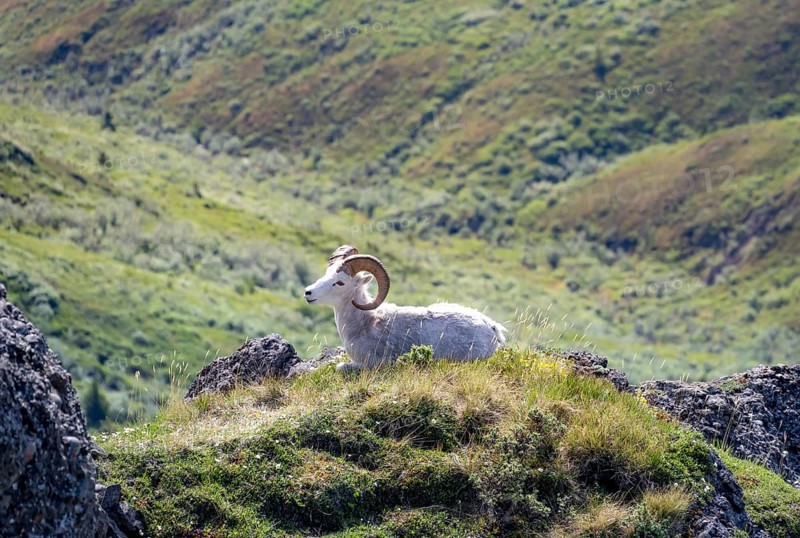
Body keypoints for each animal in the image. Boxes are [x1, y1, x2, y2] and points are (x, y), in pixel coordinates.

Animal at [303, 245, 506, 371]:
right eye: (326, 273)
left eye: (339, 282)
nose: (308, 292)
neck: (365, 323)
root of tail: (491, 327)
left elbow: (340, 367)